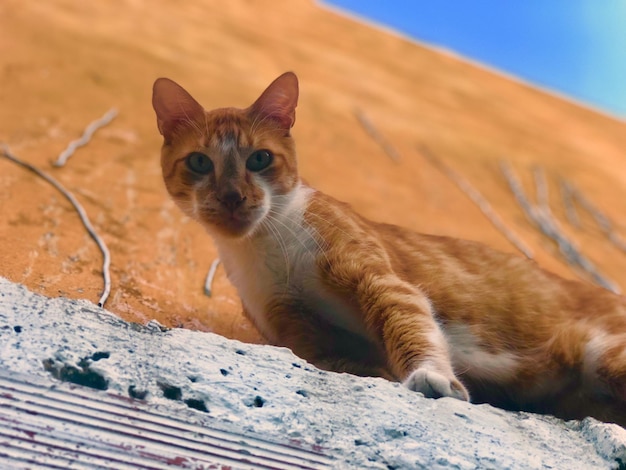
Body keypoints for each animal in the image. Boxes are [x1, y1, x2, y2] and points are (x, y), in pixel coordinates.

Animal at [151, 72, 624, 426]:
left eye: (260, 159)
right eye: (199, 162)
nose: (232, 197)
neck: (268, 247)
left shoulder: (378, 279)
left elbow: (408, 324)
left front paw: (430, 377)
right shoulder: (299, 331)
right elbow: (343, 361)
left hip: (604, 355)